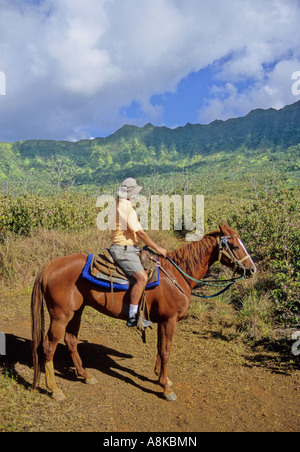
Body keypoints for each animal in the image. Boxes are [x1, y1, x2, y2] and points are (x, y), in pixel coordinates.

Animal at [30, 221, 256, 400]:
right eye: (235, 246)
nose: (253, 269)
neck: (177, 274)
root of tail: (50, 266)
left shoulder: (162, 320)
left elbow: (159, 347)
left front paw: (161, 377)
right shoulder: (169, 320)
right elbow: (166, 351)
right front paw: (165, 388)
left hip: (76, 312)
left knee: (71, 340)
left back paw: (86, 375)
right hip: (60, 316)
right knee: (48, 347)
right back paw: (55, 389)